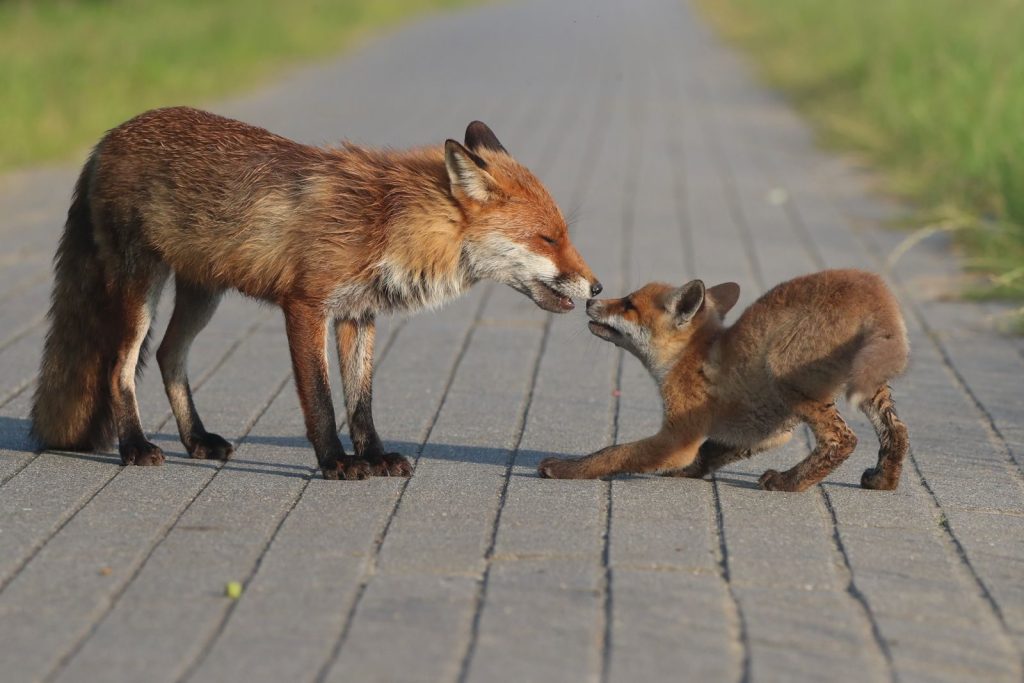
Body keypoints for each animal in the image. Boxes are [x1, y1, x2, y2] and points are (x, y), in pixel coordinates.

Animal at [31, 106, 601, 480]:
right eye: (547, 239)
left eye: (562, 235)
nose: (597, 286)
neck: (387, 221)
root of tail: (109, 135)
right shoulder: (305, 306)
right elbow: (322, 401)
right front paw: (336, 462)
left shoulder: (358, 314)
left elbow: (361, 402)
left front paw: (375, 456)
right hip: (141, 290)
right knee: (119, 367)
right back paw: (134, 445)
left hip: (203, 293)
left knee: (170, 356)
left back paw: (196, 440)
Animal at [538, 269, 910, 492]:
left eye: (628, 304)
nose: (591, 299)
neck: (690, 356)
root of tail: (873, 286)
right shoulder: (766, 433)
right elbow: (708, 453)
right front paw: (687, 472)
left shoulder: (677, 437)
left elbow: (613, 452)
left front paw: (564, 468)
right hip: (872, 387)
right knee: (899, 432)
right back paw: (884, 479)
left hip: (785, 375)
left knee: (842, 440)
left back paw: (787, 482)